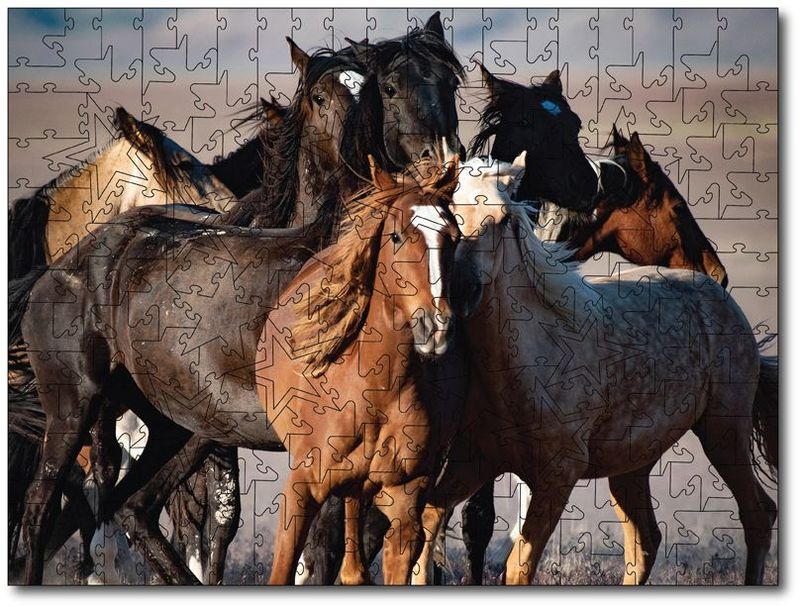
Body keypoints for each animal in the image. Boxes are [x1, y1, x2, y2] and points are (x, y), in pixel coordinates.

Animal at [411, 157, 778, 585]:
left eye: (503, 219)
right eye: (450, 214)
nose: (464, 290)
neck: (525, 364)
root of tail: (719, 295)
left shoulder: (556, 479)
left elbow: (518, 567)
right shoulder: (473, 461)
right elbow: (428, 523)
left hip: (724, 431)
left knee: (757, 514)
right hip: (632, 465)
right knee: (645, 541)